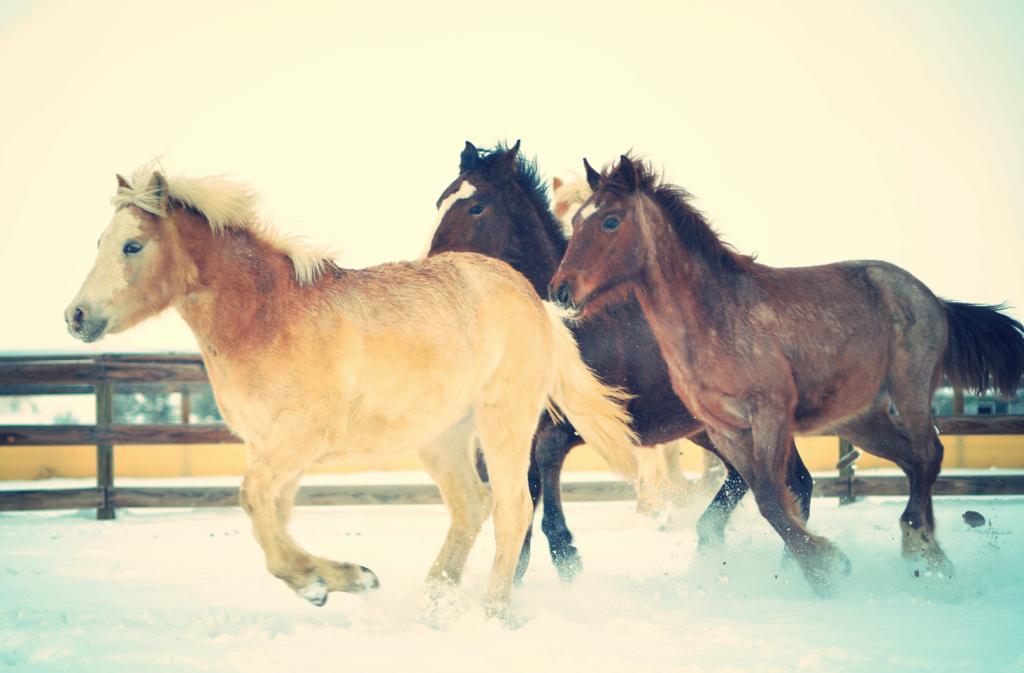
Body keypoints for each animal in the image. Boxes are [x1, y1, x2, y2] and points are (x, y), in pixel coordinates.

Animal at [64, 162, 638, 622]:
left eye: (132, 245)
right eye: (99, 243)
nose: (76, 317)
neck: (265, 316)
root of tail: (533, 298)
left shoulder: (298, 438)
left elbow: (253, 500)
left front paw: (331, 580)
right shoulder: (268, 446)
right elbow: (268, 519)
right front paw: (330, 581)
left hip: (505, 420)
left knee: (512, 510)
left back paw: (492, 614)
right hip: (441, 437)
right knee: (471, 507)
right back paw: (431, 606)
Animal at [423, 141, 813, 583]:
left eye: (477, 207)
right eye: (440, 201)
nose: (432, 265)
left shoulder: (588, 421)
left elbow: (545, 464)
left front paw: (566, 554)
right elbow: (522, 489)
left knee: (792, 482)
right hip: (706, 429)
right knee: (752, 478)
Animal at [549, 154, 1024, 593]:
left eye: (611, 221)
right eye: (576, 219)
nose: (559, 291)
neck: (713, 317)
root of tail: (932, 298)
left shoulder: (771, 413)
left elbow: (774, 500)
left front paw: (824, 570)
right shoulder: (724, 430)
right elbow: (772, 498)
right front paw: (818, 568)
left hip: (911, 388)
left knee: (929, 454)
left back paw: (921, 545)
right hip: (860, 419)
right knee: (913, 460)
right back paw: (931, 559)